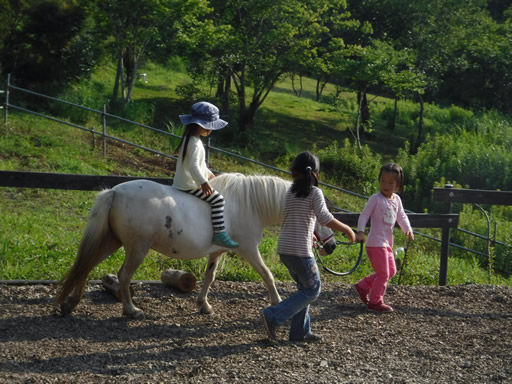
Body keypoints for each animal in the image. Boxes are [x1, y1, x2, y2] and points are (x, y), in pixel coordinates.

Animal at [56, 172, 336, 320]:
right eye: (321, 212)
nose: (331, 245)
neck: (249, 203)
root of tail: (115, 191)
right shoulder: (248, 249)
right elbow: (267, 275)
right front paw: (276, 302)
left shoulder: (217, 252)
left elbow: (209, 277)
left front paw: (204, 305)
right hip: (137, 248)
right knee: (123, 276)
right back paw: (131, 310)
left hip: (111, 241)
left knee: (86, 266)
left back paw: (70, 304)